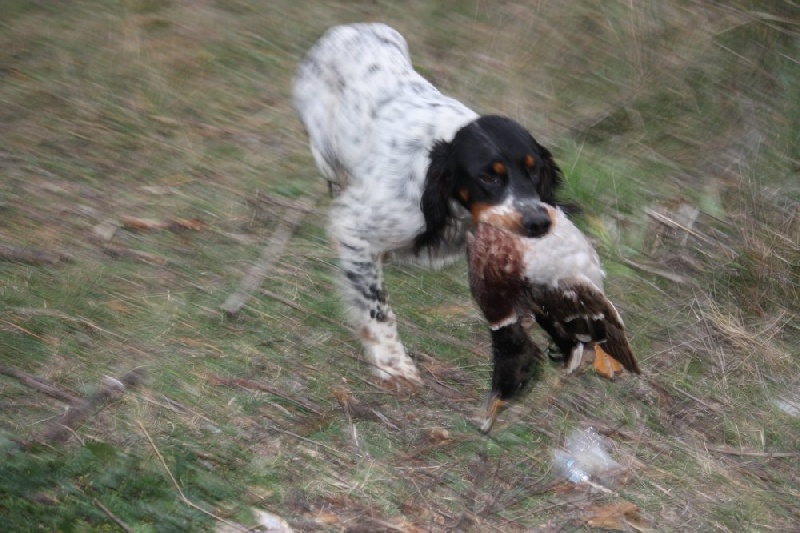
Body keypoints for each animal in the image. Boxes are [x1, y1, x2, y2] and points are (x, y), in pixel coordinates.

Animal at [294, 22, 564, 386]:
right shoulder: (354, 230)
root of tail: (352, 28)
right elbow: (375, 306)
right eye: (488, 177)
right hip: (326, 155)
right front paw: (392, 363)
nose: (538, 222)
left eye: (534, 171)